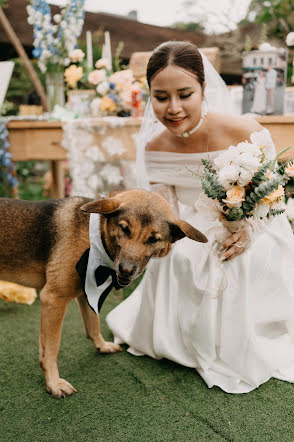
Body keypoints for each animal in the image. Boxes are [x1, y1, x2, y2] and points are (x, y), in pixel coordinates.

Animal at [0, 189, 207, 398]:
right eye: (124, 229)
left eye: (153, 239)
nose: (125, 270)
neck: (96, 237)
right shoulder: (53, 299)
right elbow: (51, 348)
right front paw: (53, 383)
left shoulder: (86, 293)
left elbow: (93, 325)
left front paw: (101, 345)